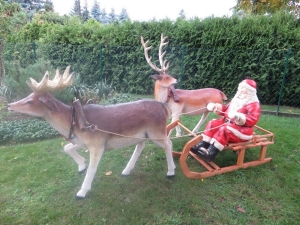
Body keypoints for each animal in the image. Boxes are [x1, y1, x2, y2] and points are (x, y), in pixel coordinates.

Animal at [7, 66, 176, 199]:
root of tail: (164, 107)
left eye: (30, 101)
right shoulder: (83, 141)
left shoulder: (97, 144)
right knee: (141, 145)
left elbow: (92, 168)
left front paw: (81, 192)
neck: (75, 123)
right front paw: (81, 166)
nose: (9, 105)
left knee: (168, 143)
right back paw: (126, 170)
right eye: (28, 96)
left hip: (157, 132)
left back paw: (171, 171)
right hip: (142, 135)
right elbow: (66, 148)